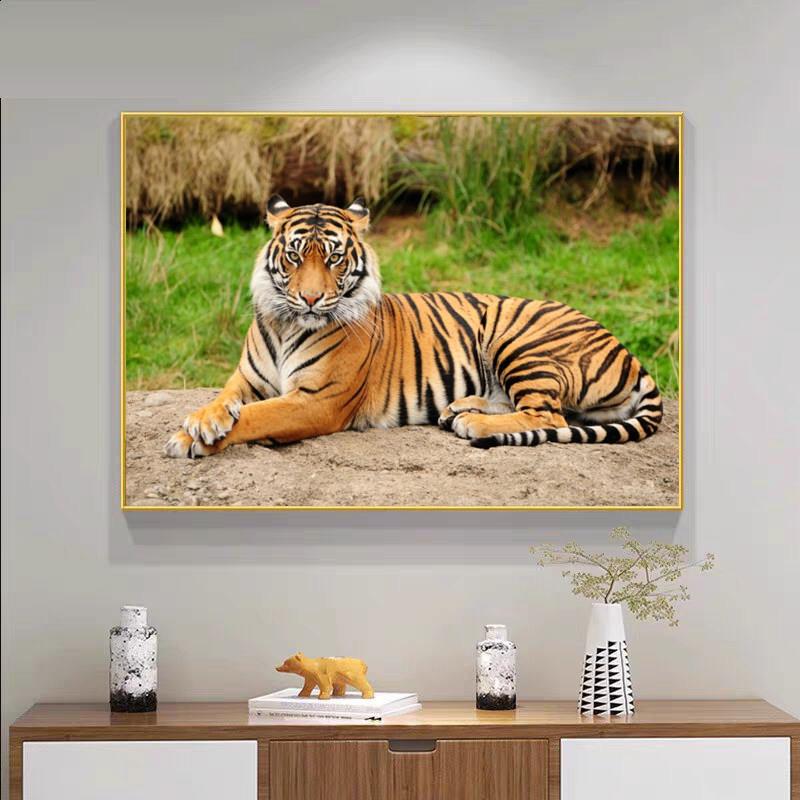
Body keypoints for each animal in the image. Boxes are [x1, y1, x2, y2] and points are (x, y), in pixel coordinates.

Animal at [165, 195, 663, 458]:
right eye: (294, 256)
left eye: (334, 258)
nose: (310, 298)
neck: (288, 324)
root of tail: (626, 350)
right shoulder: (247, 379)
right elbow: (224, 400)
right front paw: (200, 422)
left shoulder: (317, 401)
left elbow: (257, 416)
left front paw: (190, 439)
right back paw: (460, 409)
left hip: (520, 341)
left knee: (549, 414)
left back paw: (473, 424)